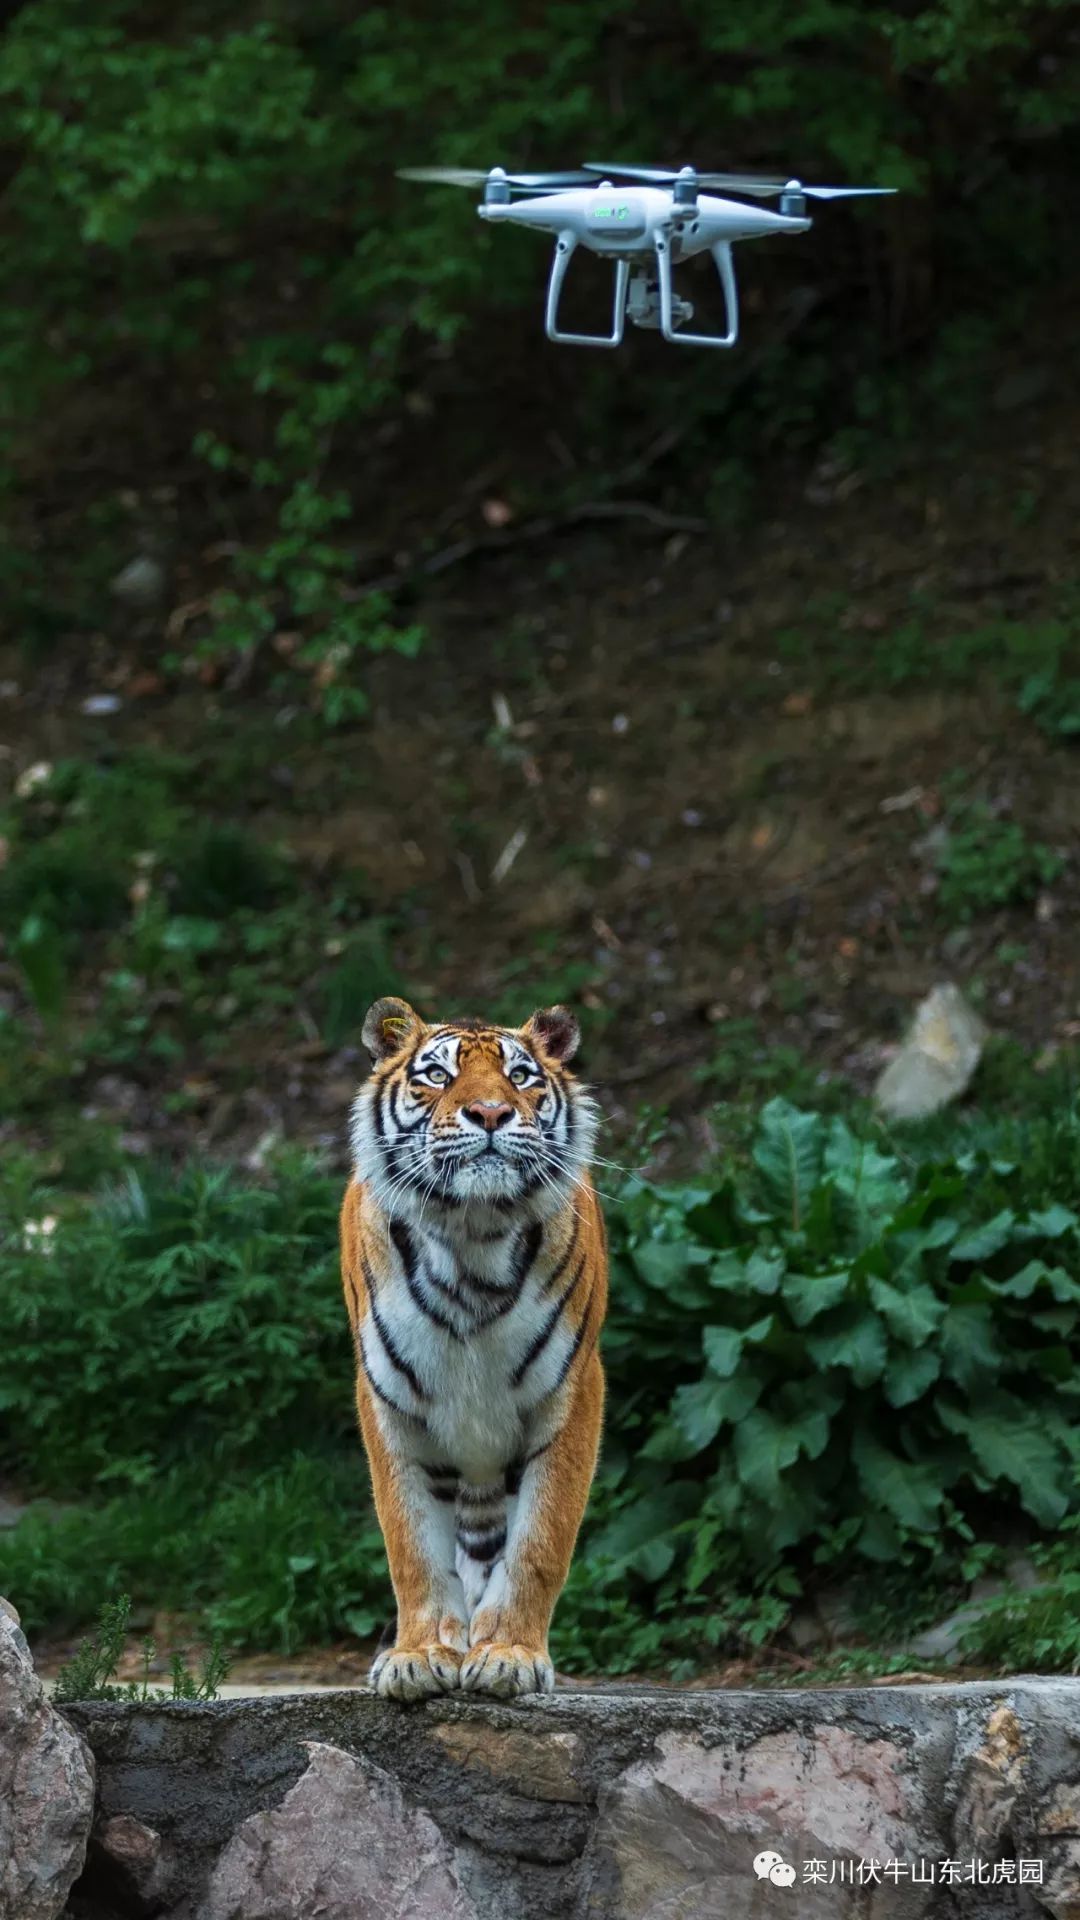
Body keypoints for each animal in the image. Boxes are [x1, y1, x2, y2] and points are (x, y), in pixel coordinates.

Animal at [338, 998, 607, 1704]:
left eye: (520, 1076)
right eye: (436, 1075)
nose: (489, 1113)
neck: (471, 1238)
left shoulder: (572, 1392)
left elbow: (541, 1540)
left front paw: (510, 1654)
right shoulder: (389, 1402)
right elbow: (412, 1547)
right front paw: (418, 1655)